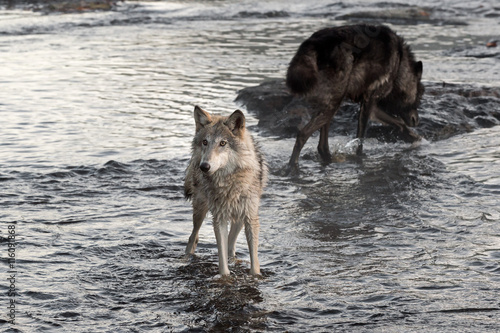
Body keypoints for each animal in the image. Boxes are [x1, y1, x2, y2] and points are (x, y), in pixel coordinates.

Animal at [184, 104, 268, 274]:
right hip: (200, 209)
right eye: (205, 142)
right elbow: (222, 259)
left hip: (240, 218)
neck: (229, 182)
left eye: (223, 143)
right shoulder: (219, 219)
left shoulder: (251, 217)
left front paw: (255, 275)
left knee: (230, 244)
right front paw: (224, 276)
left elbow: (254, 259)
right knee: (193, 237)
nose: (204, 166)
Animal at [288, 24, 424, 169]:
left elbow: (400, 124)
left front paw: (418, 140)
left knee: (322, 146)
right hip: (333, 104)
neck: (399, 64)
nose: (417, 120)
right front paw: (360, 157)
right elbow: (360, 138)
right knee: (302, 134)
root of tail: (313, 44)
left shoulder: (373, 108)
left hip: (330, 106)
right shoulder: (369, 101)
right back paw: (292, 166)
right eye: (419, 95)